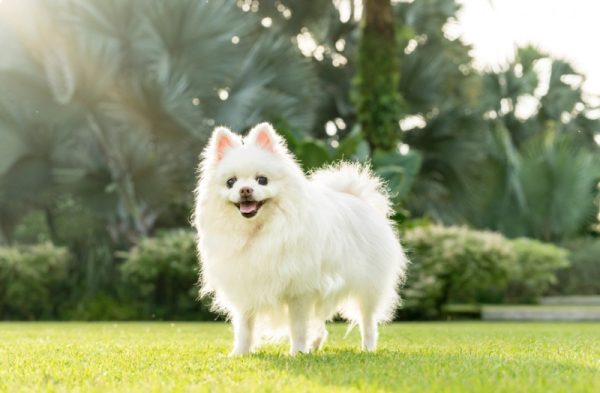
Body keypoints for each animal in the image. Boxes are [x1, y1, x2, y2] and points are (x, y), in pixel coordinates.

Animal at [192, 122, 408, 356]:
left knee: (368, 322)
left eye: (262, 180)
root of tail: (356, 197)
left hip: (368, 288)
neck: (257, 231)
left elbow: (297, 326)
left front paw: (296, 353)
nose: (245, 190)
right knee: (320, 324)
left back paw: (367, 348)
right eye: (231, 182)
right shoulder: (247, 288)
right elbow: (245, 328)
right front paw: (240, 353)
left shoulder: (299, 291)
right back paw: (314, 345)